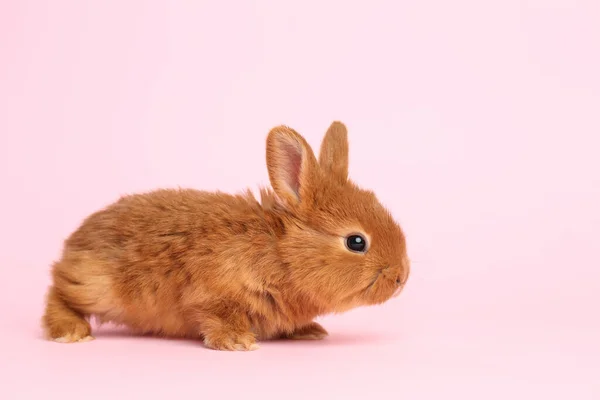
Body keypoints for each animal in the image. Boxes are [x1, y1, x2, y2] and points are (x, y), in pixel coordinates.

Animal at [41, 121, 408, 350]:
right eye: (356, 242)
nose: (402, 277)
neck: (280, 252)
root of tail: (74, 243)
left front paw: (310, 332)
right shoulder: (213, 294)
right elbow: (216, 316)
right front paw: (237, 342)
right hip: (95, 286)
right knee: (58, 293)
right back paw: (71, 332)